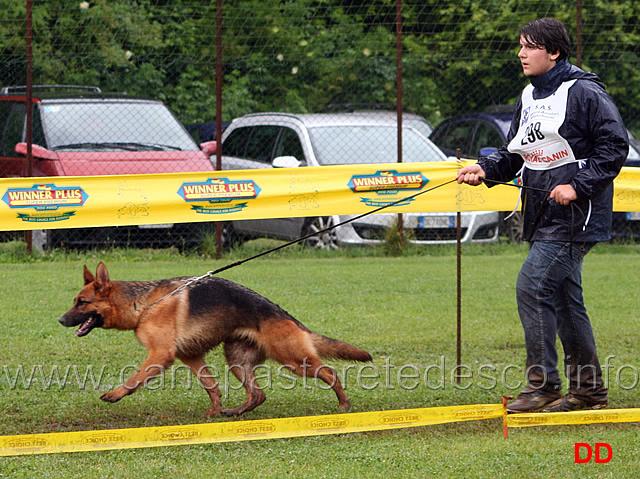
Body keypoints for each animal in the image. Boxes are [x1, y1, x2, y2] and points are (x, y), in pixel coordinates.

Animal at [60, 262, 372, 416]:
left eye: (81, 302)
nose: (61, 320)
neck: (143, 304)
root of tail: (289, 318)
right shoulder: (190, 356)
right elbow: (211, 386)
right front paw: (215, 409)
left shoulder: (160, 355)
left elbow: (135, 377)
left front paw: (115, 394)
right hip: (237, 361)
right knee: (258, 394)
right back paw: (235, 412)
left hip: (294, 360)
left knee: (330, 373)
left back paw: (344, 404)